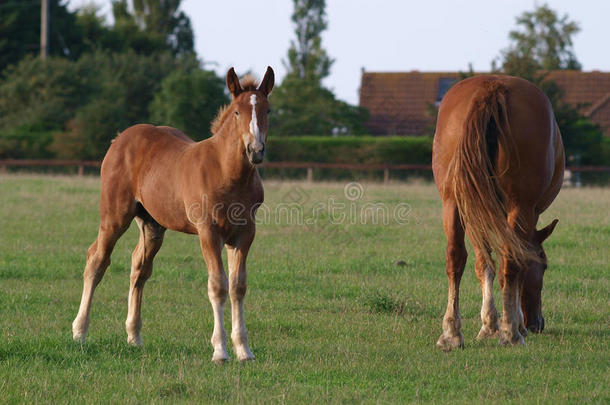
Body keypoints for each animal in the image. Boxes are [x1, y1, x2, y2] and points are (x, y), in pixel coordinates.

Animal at [71, 67, 274, 362]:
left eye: (268, 110)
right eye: (237, 112)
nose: (255, 151)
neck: (228, 172)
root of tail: (120, 138)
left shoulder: (244, 234)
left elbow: (238, 286)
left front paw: (244, 350)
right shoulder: (208, 232)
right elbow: (218, 285)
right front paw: (220, 350)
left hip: (152, 224)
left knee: (139, 267)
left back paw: (134, 337)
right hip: (114, 216)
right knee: (96, 260)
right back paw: (80, 332)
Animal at [432, 75, 560, 348]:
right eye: (544, 266)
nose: (538, 324)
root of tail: (491, 88)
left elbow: (484, 264)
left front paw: (489, 325)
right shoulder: (527, 212)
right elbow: (514, 266)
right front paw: (509, 325)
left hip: (453, 202)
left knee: (455, 257)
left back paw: (451, 333)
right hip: (519, 206)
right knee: (511, 261)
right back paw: (511, 333)